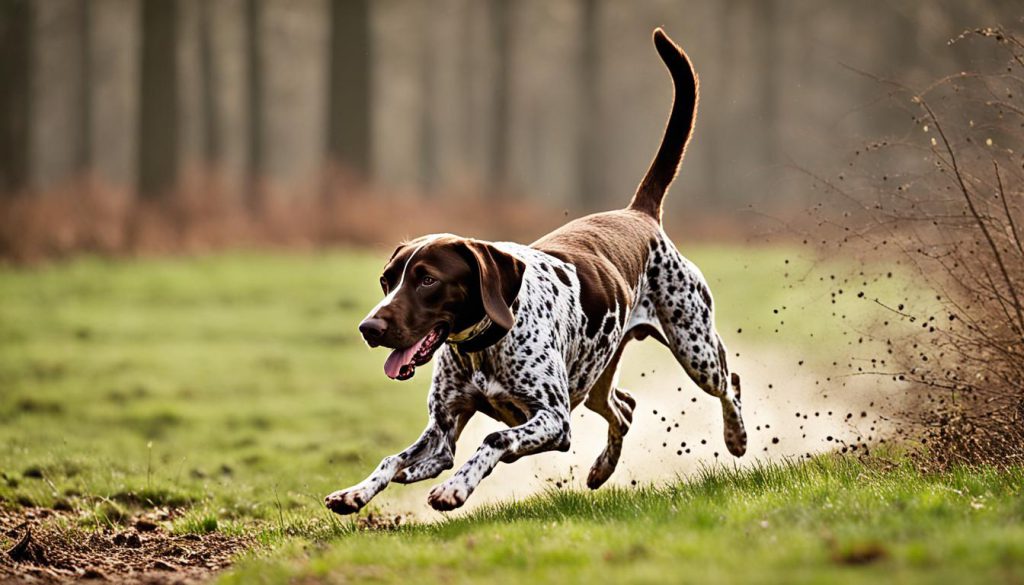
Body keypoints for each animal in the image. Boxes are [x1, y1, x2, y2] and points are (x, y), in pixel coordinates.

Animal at [325, 27, 745, 514]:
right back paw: (603, 467)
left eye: (427, 279)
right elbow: (395, 459)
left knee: (728, 382)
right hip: (595, 378)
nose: (368, 328)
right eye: (387, 280)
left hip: (695, 349)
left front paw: (456, 487)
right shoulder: (442, 430)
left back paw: (736, 437)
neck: (484, 345)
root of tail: (638, 214)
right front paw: (357, 491)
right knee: (624, 408)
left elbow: (493, 438)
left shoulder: (553, 420)